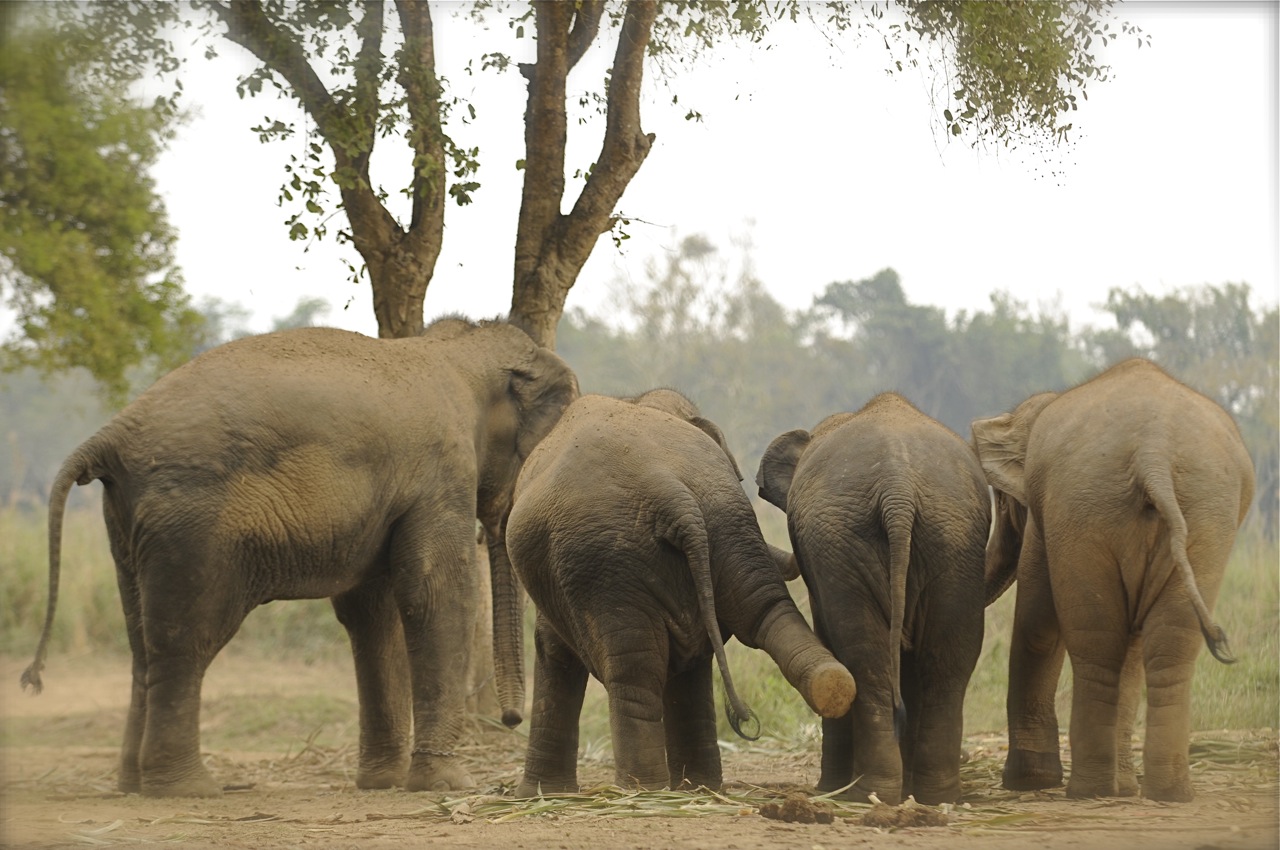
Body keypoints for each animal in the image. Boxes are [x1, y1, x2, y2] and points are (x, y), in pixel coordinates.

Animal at [18, 317, 581, 798]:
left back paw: (135, 786)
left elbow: (370, 612)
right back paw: (187, 789)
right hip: (190, 524)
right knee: (186, 639)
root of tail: (113, 434)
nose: (511, 719)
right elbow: (437, 594)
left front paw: (383, 783)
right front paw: (446, 785)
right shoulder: (441, 469)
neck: (456, 352)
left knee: (141, 640)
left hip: (126, 522)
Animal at [504, 389, 855, 793]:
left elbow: (553, 649)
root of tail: (671, 492)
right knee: (764, 611)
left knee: (633, 671)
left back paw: (642, 791)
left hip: (606, 560)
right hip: (724, 520)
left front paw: (538, 794)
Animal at [757, 391, 988, 803]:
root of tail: (899, 488)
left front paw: (829, 788)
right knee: (947, 660)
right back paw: (933, 796)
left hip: (859, 539)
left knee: (865, 656)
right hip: (950, 539)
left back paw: (865, 794)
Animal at [972, 355, 1254, 803]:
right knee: (1165, 642)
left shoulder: (1045, 516)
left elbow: (1038, 626)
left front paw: (1029, 783)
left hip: (1091, 509)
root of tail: (1154, 451)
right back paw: (1163, 792)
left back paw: (1091, 790)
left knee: (1098, 641)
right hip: (1202, 514)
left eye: (1000, 501)